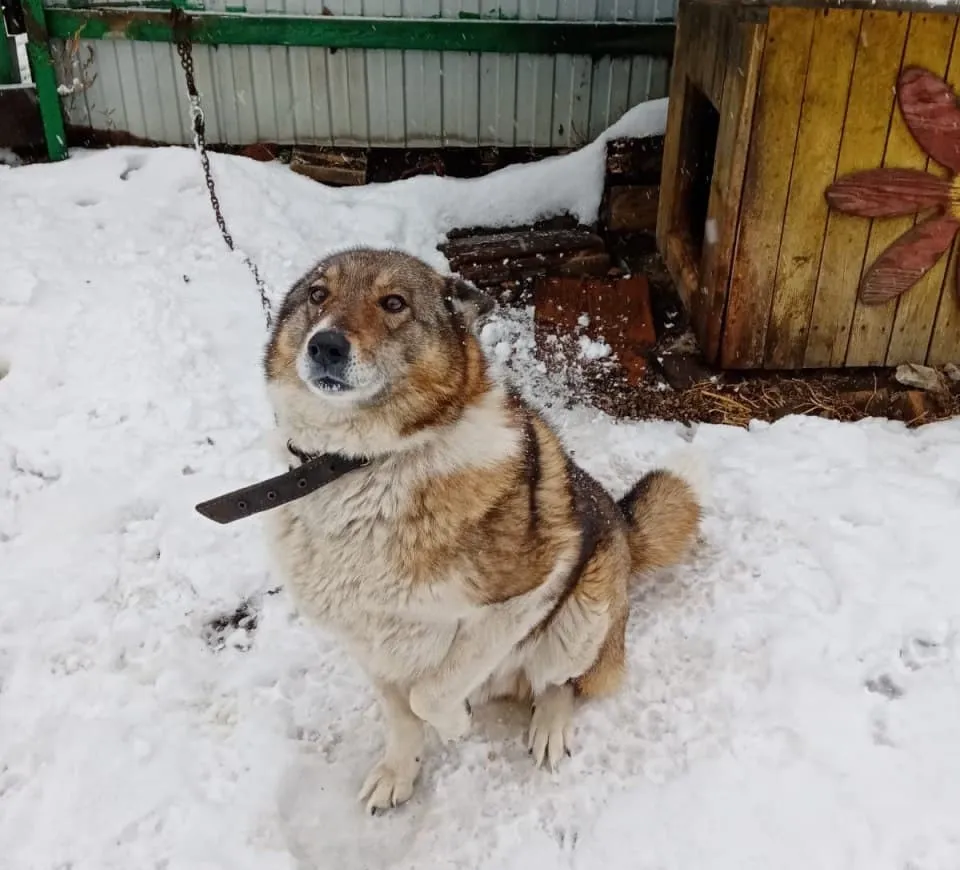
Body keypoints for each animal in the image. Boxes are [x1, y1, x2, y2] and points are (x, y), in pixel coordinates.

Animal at [258, 249, 700, 816]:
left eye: (394, 303)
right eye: (318, 295)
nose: (325, 345)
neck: (361, 465)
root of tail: (622, 523)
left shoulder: (531, 589)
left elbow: (429, 695)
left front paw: (454, 725)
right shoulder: (368, 637)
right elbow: (402, 716)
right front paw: (400, 773)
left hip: (587, 606)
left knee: (558, 682)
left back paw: (548, 727)